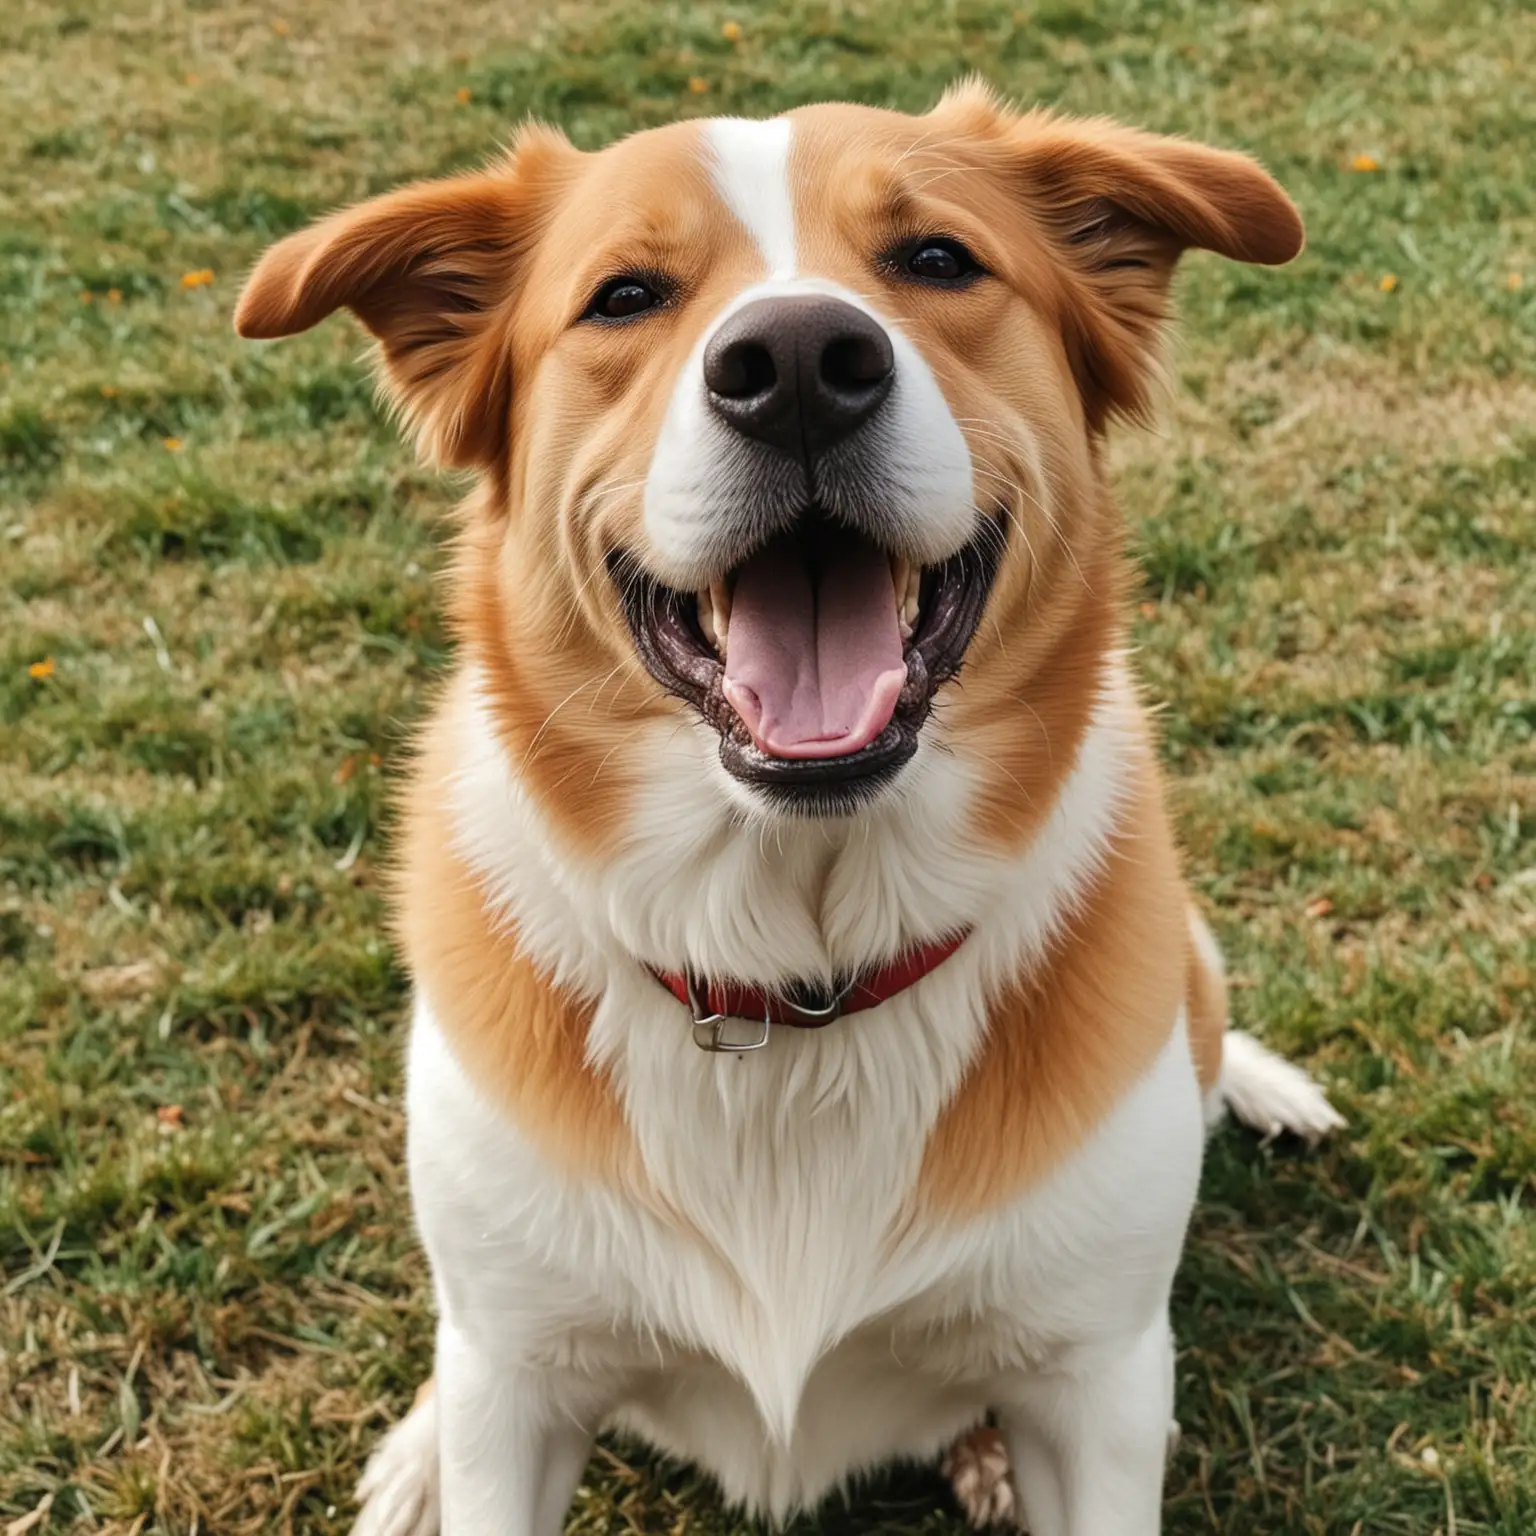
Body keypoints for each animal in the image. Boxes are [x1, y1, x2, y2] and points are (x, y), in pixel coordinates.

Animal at [233, 84, 1339, 1536]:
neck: (796, 976)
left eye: (937, 260)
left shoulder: (1094, 1384)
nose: (803, 361)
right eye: (625, 295)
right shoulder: (519, 1385)